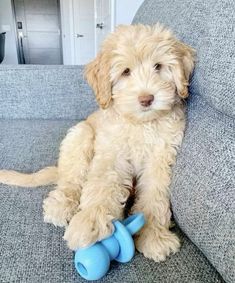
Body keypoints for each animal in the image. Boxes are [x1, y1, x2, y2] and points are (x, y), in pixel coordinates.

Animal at [0, 23, 195, 262]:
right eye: (126, 71)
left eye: (158, 66)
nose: (147, 99)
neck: (140, 123)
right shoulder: (111, 153)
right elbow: (102, 186)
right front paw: (90, 222)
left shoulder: (160, 157)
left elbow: (155, 195)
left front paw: (154, 235)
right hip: (80, 134)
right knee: (71, 181)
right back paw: (61, 205)